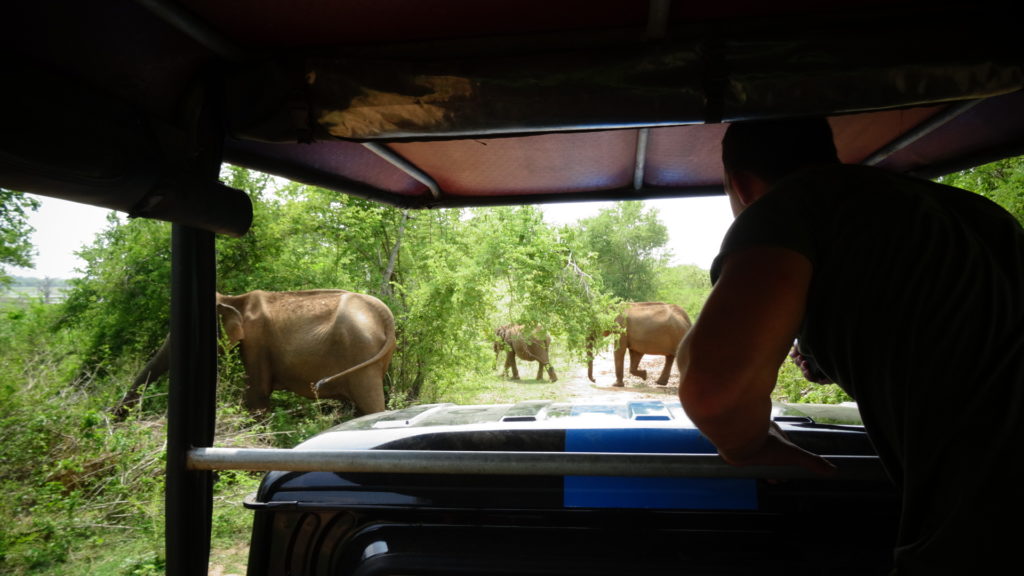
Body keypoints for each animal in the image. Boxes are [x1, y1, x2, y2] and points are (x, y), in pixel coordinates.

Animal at [115, 286, 395, 416]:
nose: (116, 417)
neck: (233, 299)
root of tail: (385, 315)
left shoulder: (257, 343)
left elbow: (255, 395)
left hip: (360, 349)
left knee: (371, 405)